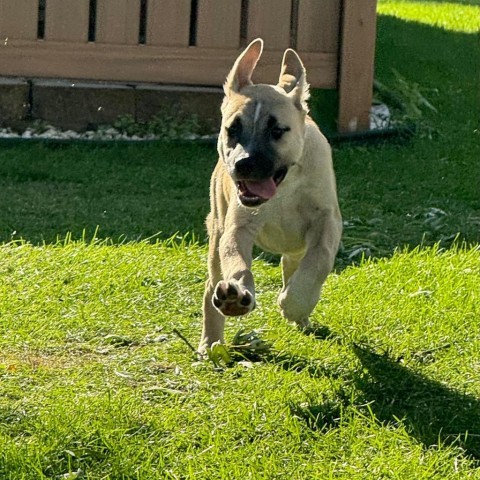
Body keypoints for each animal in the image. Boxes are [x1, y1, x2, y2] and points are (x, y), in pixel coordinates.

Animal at [198, 38, 342, 352]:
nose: (244, 164)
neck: (284, 189)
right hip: (216, 230)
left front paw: (296, 303)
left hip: (295, 247)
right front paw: (237, 295)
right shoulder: (237, 227)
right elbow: (238, 264)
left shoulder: (327, 220)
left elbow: (319, 259)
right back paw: (211, 340)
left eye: (277, 130)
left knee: (294, 265)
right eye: (232, 129)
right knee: (212, 283)